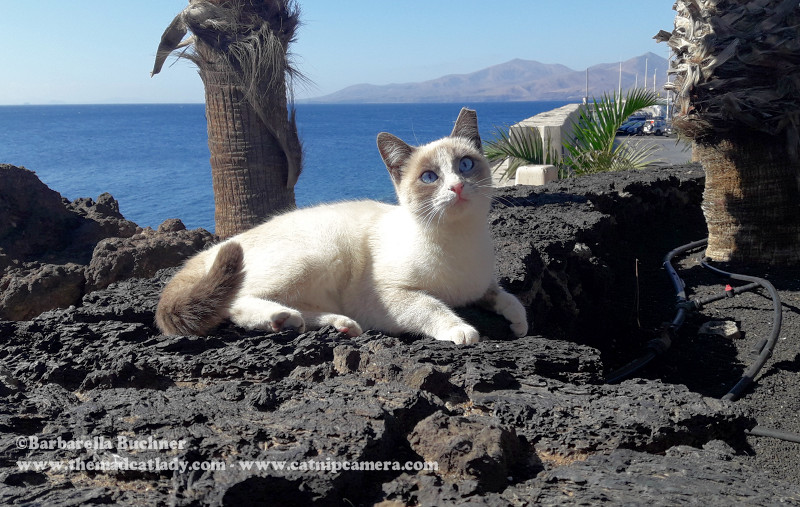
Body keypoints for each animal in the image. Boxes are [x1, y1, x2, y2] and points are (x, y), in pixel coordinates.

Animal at [159, 107, 528, 346]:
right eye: (429, 177)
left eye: (465, 165)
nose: (457, 186)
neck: (459, 239)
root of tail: (215, 247)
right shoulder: (388, 298)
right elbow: (431, 307)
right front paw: (461, 330)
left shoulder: (481, 286)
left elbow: (506, 297)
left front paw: (519, 324)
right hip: (316, 253)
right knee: (237, 303)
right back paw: (280, 318)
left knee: (299, 310)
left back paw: (329, 324)